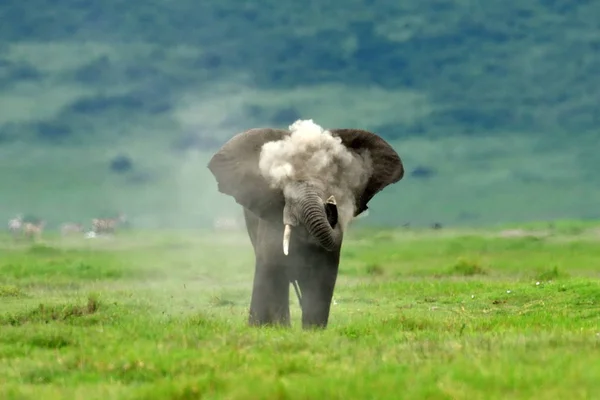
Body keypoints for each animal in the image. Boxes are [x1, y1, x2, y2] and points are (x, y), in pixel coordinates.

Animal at [206, 123, 404, 330]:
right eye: (283, 192)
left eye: (332, 189)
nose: (332, 204)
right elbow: (270, 266)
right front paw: (266, 328)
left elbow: (323, 273)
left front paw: (313, 330)